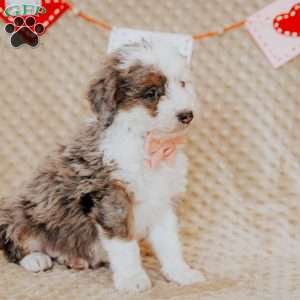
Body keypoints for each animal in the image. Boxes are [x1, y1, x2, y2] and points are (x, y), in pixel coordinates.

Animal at [0, 41, 204, 292]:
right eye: (151, 93)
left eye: (182, 83)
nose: (187, 115)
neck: (147, 144)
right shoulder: (111, 198)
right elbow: (124, 244)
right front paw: (132, 278)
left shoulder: (163, 200)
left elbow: (169, 243)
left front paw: (180, 273)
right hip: (21, 210)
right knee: (14, 239)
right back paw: (35, 259)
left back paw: (72, 258)